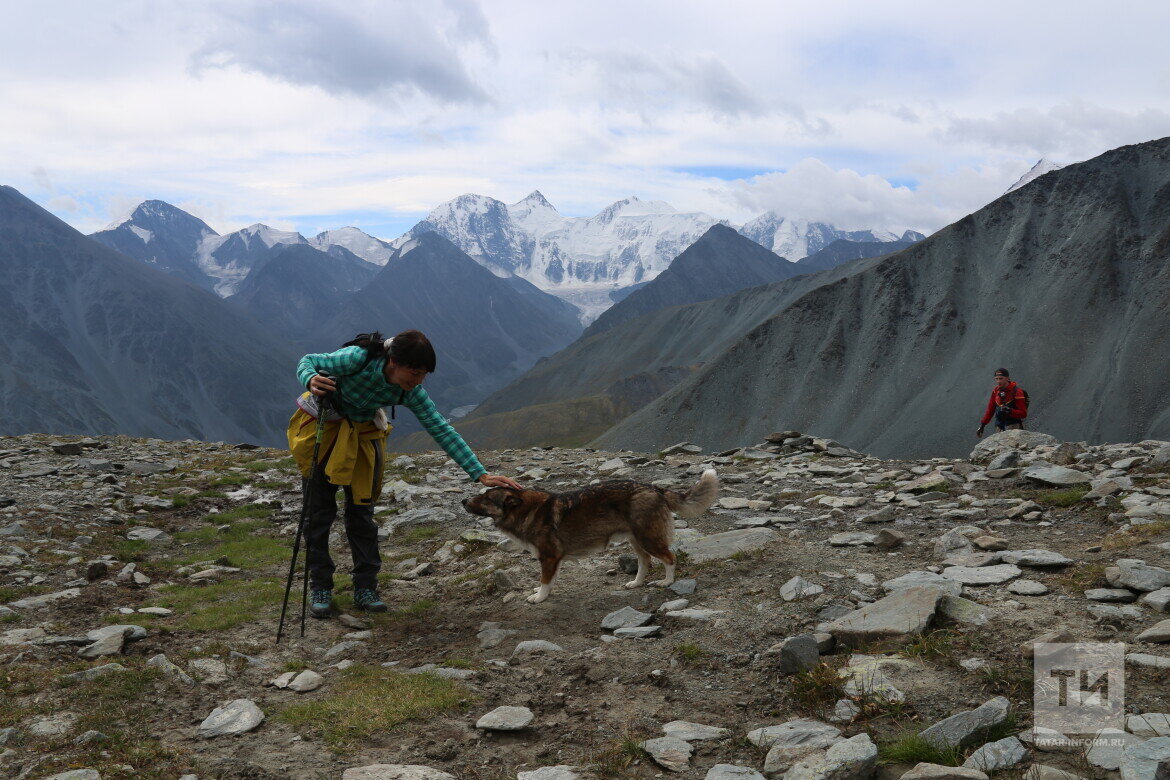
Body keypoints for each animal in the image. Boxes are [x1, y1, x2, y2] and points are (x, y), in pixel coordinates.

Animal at [460, 470, 716, 603]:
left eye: (486, 499)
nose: (463, 501)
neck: (526, 510)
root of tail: (655, 488)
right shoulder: (554, 559)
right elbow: (551, 580)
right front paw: (546, 593)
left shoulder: (549, 557)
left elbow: (544, 580)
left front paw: (540, 597)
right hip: (635, 539)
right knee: (645, 561)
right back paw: (636, 583)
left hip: (648, 538)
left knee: (670, 558)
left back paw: (667, 582)